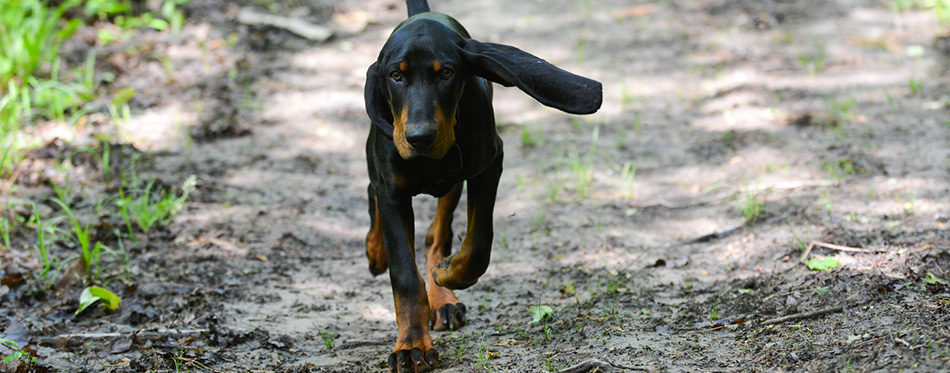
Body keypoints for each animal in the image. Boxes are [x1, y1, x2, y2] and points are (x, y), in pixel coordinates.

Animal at [364, 2, 604, 370]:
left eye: (447, 73)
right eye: (396, 75)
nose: (419, 138)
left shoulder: (489, 165)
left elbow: (478, 247)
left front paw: (448, 273)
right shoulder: (392, 190)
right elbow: (404, 275)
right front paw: (411, 345)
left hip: (452, 184)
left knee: (437, 235)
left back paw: (443, 297)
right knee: (371, 191)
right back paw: (376, 251)